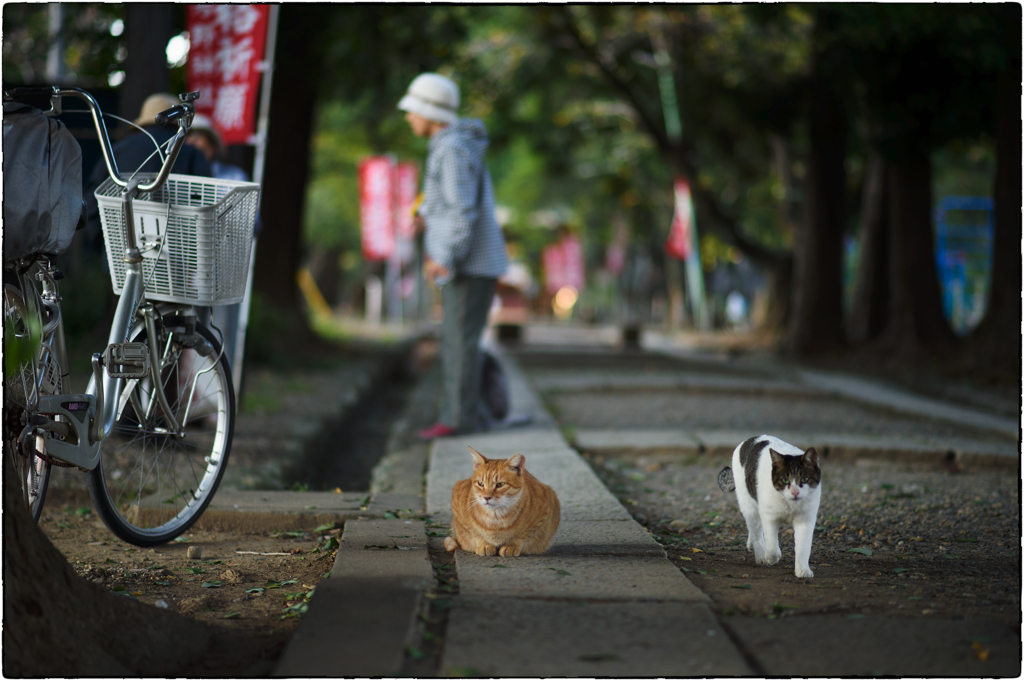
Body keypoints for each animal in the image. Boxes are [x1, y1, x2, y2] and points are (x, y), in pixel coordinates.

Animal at [720, 436, 823, 573]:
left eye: (805, 479)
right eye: (785, 480)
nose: (795, 492)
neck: (790, 504)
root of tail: (748, 440)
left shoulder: (805, 520)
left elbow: (803, 548)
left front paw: (803, 571)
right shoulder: (769, 517)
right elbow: (772, 547)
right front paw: (771, 557)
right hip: (749, 507)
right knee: (756, 532)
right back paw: (761, 556)